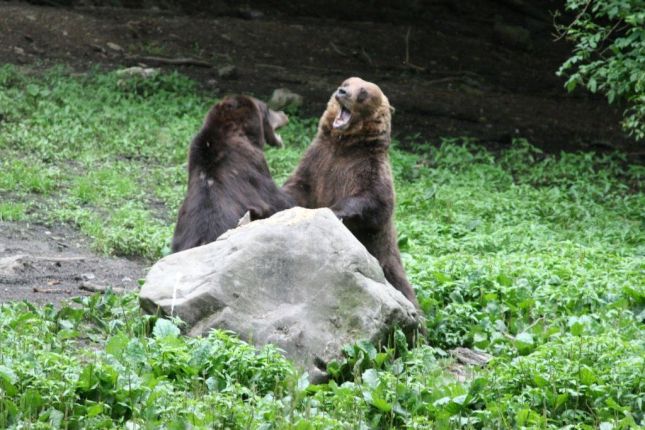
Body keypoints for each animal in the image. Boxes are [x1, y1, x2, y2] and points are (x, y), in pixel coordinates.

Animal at [280, 77, 418, 306]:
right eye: (346, 83)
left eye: (363, 92)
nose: (342, 92)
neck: (343, 145)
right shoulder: (317, 161)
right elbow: (299, 186)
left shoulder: (368, 169)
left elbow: (375, 203)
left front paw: (336, 212)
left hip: (388, 267)